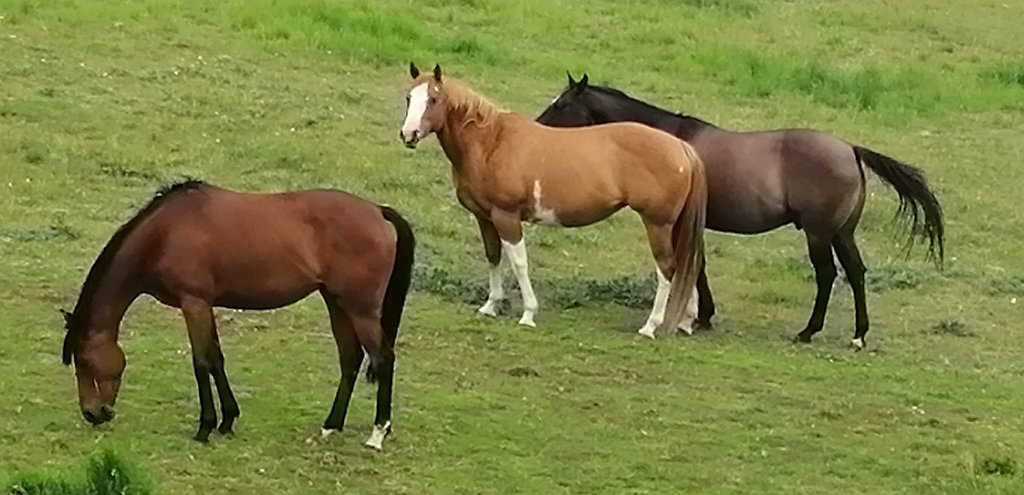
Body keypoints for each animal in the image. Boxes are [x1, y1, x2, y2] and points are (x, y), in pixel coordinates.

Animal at [60, 180, 415, 450]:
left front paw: (205, 427)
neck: (165, 233)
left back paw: (377, 433)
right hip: (337, 303)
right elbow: (216, 359)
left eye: (85, 361)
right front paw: (227, 421)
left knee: (383, 358)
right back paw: (330, 426)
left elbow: (202, 362)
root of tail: (377, 211)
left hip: (360, 309)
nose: (92, 413)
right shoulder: (204, 305)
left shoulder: (194, 303)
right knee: (350, 359)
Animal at [399, 63, 707, 338]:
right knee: (687, 264)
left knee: (668, 268)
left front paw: (528, 313)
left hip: (657, 224)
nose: (408, 135)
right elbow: (493, 257)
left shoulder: (506, 216)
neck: (491, 142)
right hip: (674, 226)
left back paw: (650, 326)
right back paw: (685, 321)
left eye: (434, 99)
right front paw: (491, 306)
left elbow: (519, 263)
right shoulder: (484, 217)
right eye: (409, 98)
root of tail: (682, 147)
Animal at [537, 73, 945, 349]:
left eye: (561, 104)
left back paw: (809, 331)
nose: (537, 129)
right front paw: (701, 316)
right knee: (857, 273)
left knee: (828, 275)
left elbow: (693, 265)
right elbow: (698, 265)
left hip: (818, 234)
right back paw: (858, 336)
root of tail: (850, 149)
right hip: (842, 233)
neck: (671, 141)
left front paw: (696, 317)